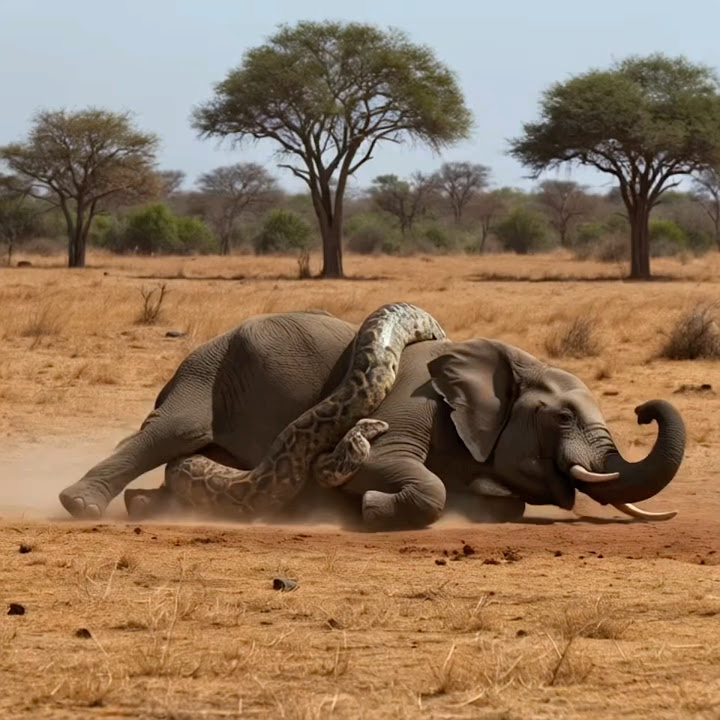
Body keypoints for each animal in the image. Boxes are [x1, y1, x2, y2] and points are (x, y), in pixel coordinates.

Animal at [58, 307, 686, 529]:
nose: (644, 410)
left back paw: (147, 505)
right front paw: (368, 508)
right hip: (205, 375)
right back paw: (81, 504)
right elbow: (414, 480)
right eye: (561, 420)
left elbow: (499, 499)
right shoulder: (413, 404)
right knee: (167, 435)